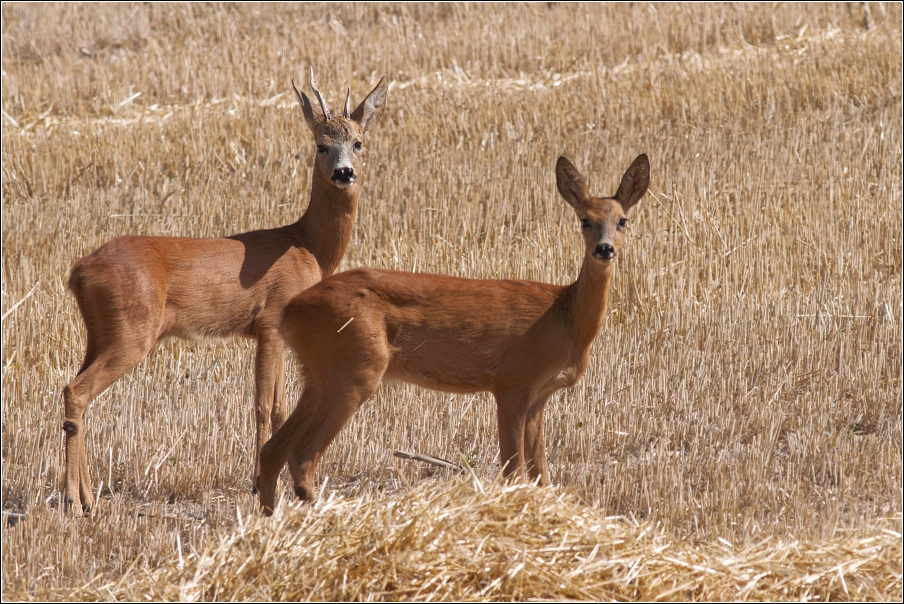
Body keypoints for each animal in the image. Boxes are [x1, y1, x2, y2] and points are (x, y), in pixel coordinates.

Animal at [62, 71, 388, 510]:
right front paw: (257, 483)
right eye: (321, 144)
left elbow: (281, 407)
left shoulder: (279, 331)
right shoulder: (270, 320)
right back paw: (72, 499)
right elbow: (263, 405)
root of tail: (79, 270)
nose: (344, 173)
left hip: (99, 332)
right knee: (76, 391)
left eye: (358, 142)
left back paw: (87, 497)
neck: (307, 246)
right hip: (133, 329)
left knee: (78, 393)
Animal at [258, 153, 648, 512]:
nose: (604, 249)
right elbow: (514, 471)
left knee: (272, 449)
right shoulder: (512, 380)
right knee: (302, 456)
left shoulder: (540, 394)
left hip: (319, 372)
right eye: (585, 220)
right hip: (357, 366)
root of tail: (291, 309)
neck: (564, 318)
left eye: (622, 220)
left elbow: (542, 473)